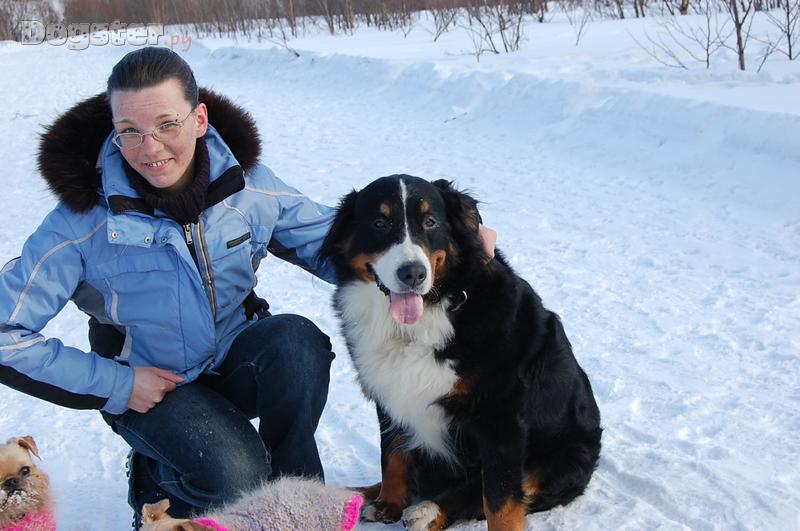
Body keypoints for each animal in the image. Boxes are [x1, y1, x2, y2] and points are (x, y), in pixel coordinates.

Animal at [318, 175, 602, 531]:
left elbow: (499, 498)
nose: (412, 273)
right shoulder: (390, 390)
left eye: (430, 222)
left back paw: (428, 511)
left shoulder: (501, 415)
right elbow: (392, 454)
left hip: (564, 454)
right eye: (380, 223)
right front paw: (388, 503)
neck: (424, 319)